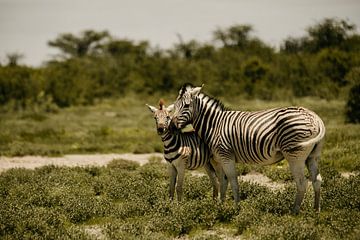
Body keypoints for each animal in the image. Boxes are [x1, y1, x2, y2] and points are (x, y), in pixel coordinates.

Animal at [172, 84, 326, 214]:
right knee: (316, 179)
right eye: (174, 106)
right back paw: (316, 210)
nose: (172, 126)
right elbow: (223, 181)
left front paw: (236, 208)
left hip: (295, 156)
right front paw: (221, 206)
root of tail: (314, 117)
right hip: (312, 156)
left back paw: (294, 212)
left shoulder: (226, 155)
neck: (215, 124)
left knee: (302, 182)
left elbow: (233, 181)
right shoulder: (219, 158)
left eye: (186, 105)